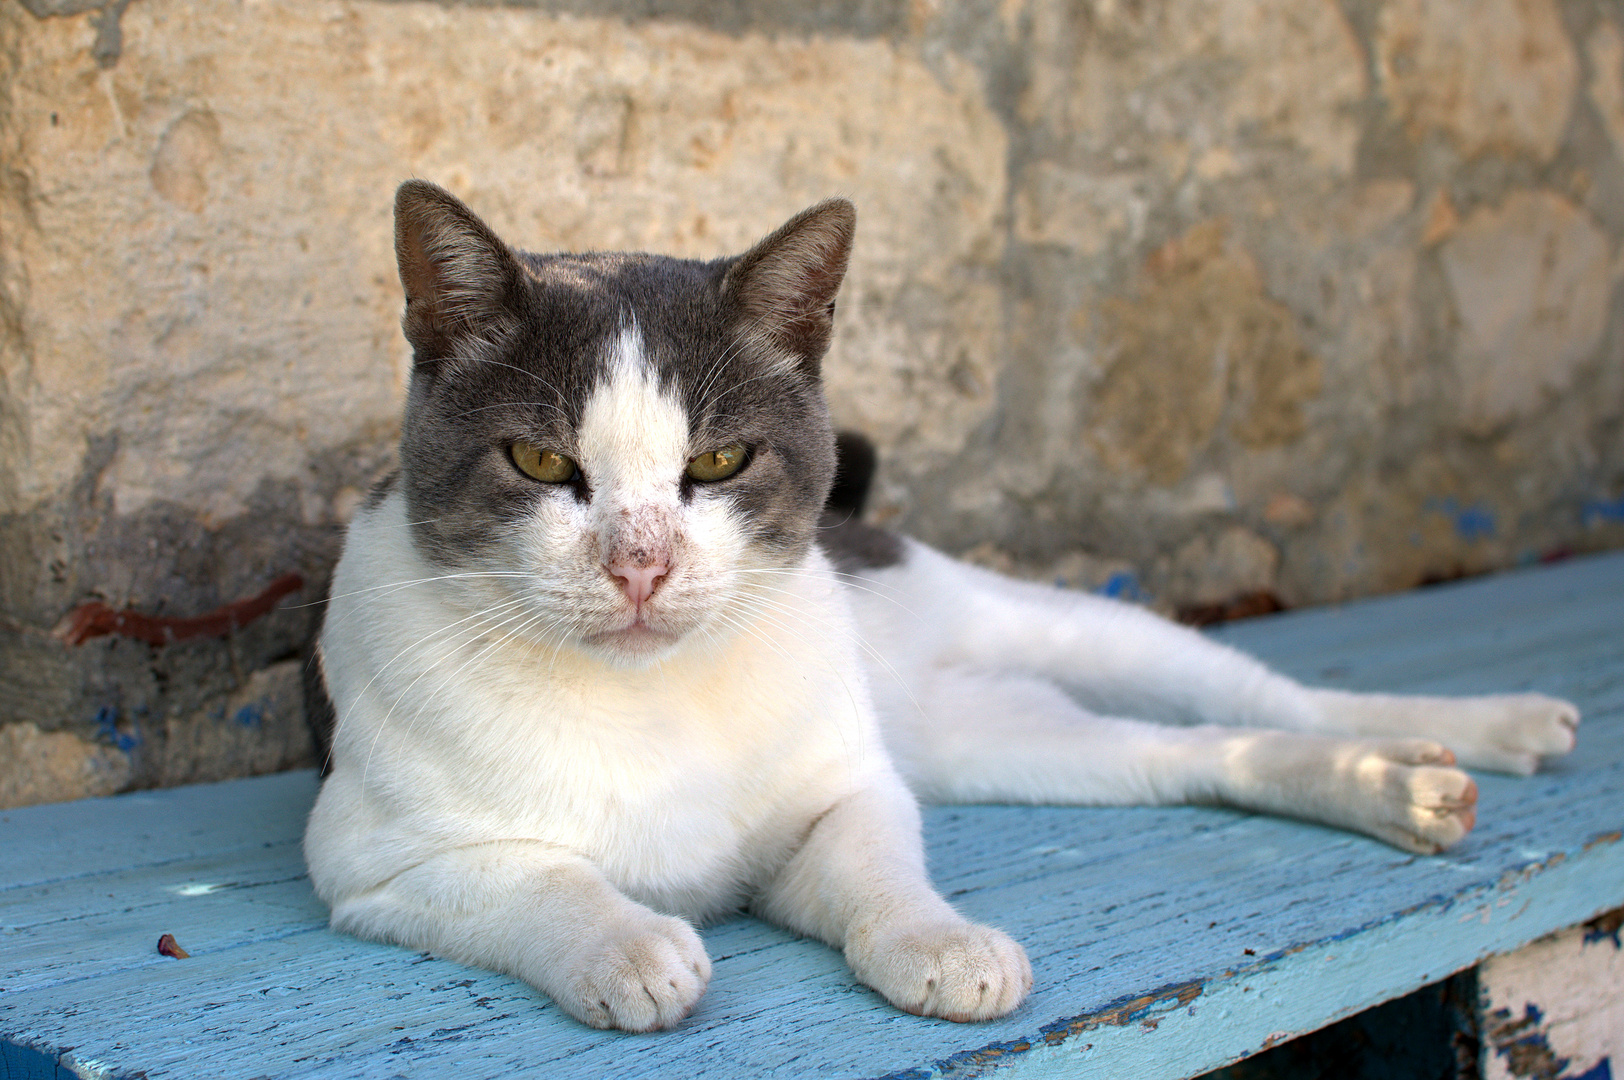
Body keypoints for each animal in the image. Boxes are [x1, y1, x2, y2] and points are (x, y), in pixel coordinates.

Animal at [298, 181, 1578, 1032]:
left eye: (716, 462)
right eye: (535, 460)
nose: (640, 563)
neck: (654, 698)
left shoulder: (847, 791)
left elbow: (879, 869)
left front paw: (940, 941)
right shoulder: (371, 860)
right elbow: (542, 878)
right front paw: (628, 946)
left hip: (1050, 626)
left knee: (1268, 699)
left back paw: (1462, 737)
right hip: (1002, 744)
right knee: (1192, 756)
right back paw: (1400, 785)